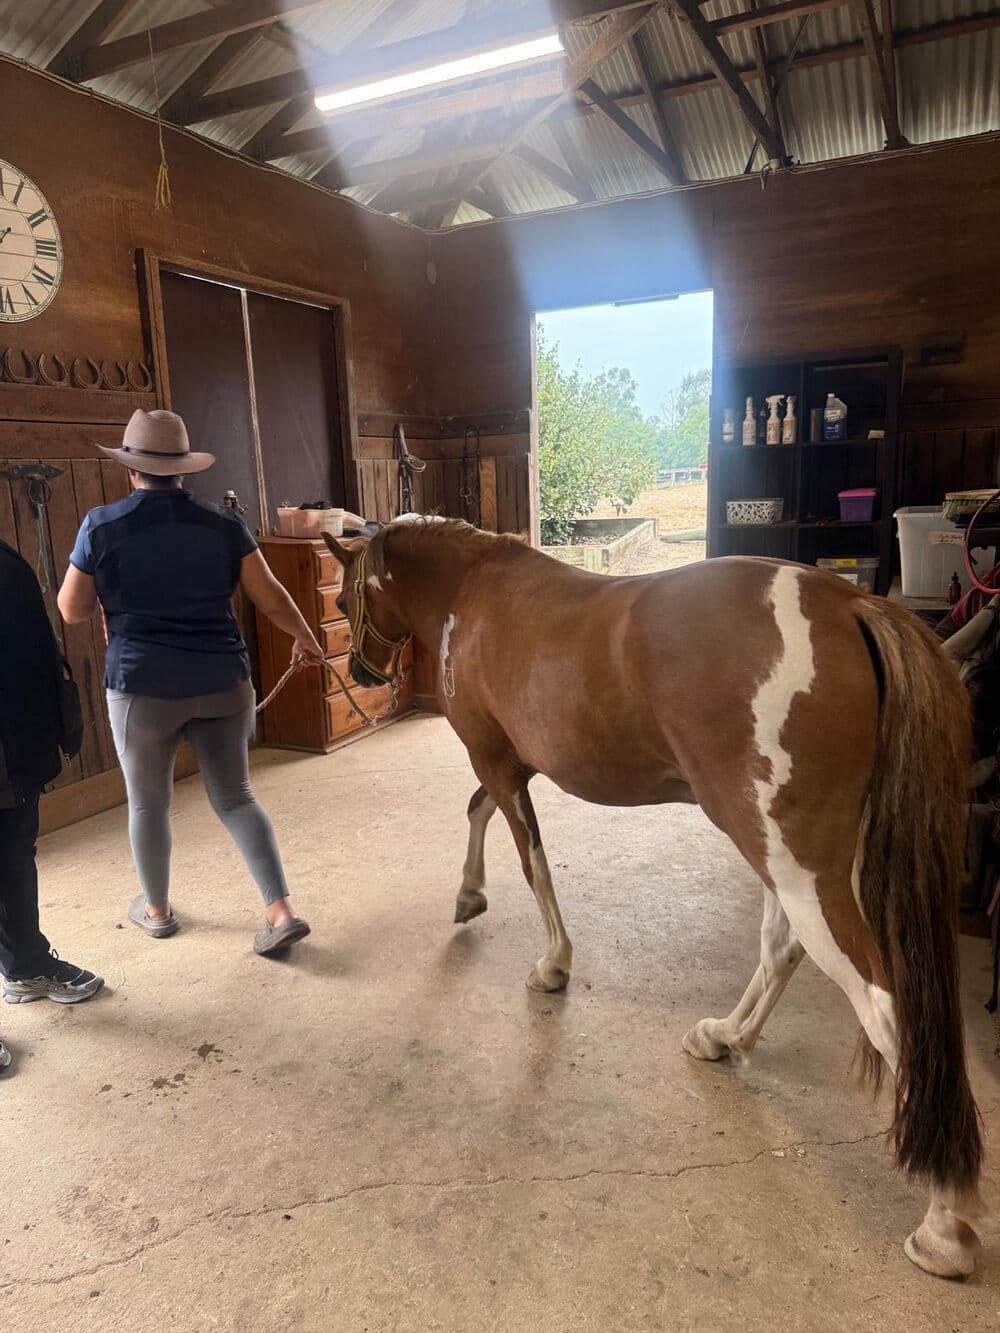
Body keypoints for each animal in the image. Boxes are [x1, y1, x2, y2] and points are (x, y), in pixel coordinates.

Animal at [324, 517, 984, 1279]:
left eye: (341, 600)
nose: (363, 674)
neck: (473, 589)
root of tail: (848, 603)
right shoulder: (511, 764)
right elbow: (478, 812)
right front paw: (469, 896)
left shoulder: (495, 758)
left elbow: (532, 861)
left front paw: (551, 964)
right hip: (779, 851)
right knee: (781, 949)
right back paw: (725, 1036)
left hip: (793, 860)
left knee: (878, 1002)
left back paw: (945, 1224)